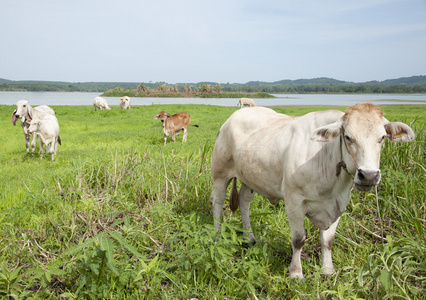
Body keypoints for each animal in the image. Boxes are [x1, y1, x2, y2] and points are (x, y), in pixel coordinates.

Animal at [211, 103, 414, 278]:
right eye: (348, 137)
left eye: (382, 138)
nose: (369, 176)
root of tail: (235, 116)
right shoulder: (294, 200)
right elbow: (298, 239)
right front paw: (295, 273)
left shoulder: (339, 202)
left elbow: (328, 240)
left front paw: (328, 270)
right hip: (220, 174)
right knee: (217, 203)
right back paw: (217, 236)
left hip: (250, 178)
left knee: (244, 201)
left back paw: (249, 237)